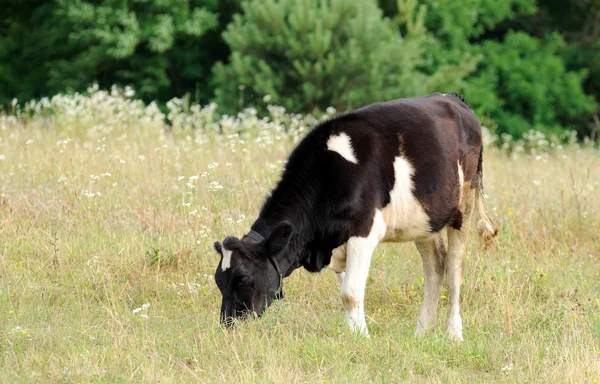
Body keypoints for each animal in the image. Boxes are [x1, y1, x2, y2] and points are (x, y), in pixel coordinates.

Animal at [213, 93, 500, 340]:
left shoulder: (363, 231)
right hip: (425, 219)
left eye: (244, 278)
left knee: (454, 271)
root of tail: (452, 98)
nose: (228, 323)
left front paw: (360, 338)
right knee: (435, 266)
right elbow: (350, 290)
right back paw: (421, 333)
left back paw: (454, 334)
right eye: (219, 280)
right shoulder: (336, 241)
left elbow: (350, 293)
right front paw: (356, 332)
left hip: (464, 206)